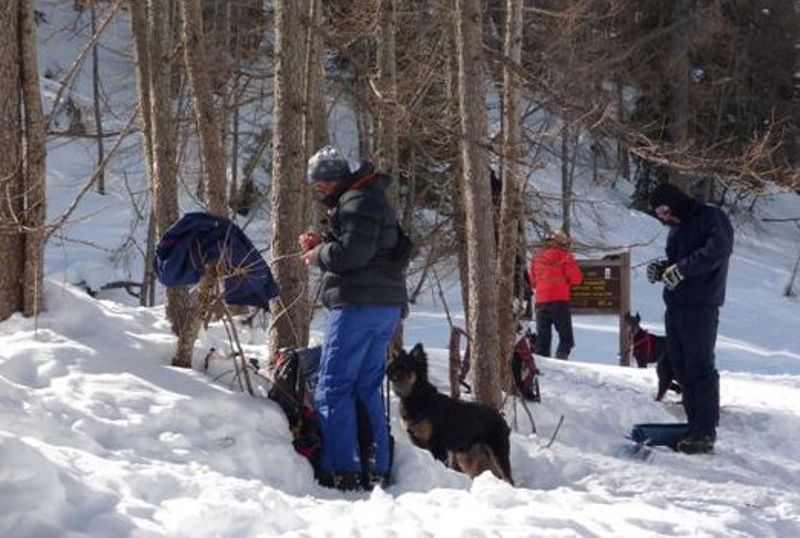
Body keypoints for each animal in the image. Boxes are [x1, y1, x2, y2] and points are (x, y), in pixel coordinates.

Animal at [386, 344, 512, 486]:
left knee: (508, 478)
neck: (416, 398)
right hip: (468, 456)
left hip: (498, 454)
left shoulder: (437, 443)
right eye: (394, 366)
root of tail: (502, 420)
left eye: (405, 367)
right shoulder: (415, 439)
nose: (391, 376)